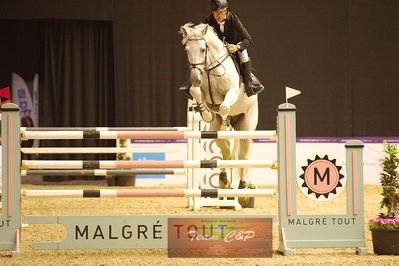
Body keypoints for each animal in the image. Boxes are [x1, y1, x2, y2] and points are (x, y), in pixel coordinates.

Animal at [180, 23, 258, 206]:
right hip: (217, 131)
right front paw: (206, 113)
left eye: (203, 49)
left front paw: (222, 121)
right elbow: (197, 93)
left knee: (243, 153)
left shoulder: (232, 92)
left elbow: (223, 107)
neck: (210, 69)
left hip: (247, 123)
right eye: (187, 50)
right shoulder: (201, 92)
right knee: (225, 149)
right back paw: (224, 180)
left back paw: (243, 190)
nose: (195, 78)